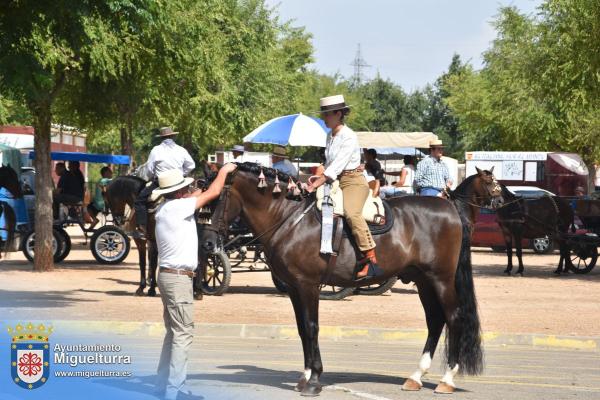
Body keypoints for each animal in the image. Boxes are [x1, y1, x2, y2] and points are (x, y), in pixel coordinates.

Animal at [204, 162, 504, 394]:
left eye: (217, 197)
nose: (207, 243)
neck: (290, 219)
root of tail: (451, 210)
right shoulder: (293, 288)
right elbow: (302, 330)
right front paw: (305, 376)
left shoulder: (308, 285)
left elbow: (311, 328)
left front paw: (314, 379)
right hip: (423, 281)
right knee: (435, 320)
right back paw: (416, 376)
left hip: (440, 278)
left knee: (453, 318)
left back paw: (447, 379)